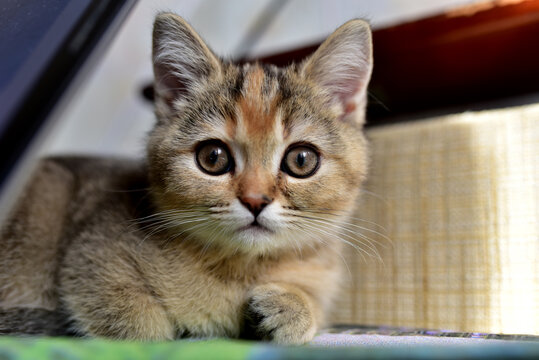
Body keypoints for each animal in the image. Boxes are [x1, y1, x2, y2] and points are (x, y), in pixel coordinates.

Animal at [0, 13, 372, 344]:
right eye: (213, 157)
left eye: (301, 160)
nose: (255, 200)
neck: (241, 269)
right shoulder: (89, 255)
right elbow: (142, 329)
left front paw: (294, 305)